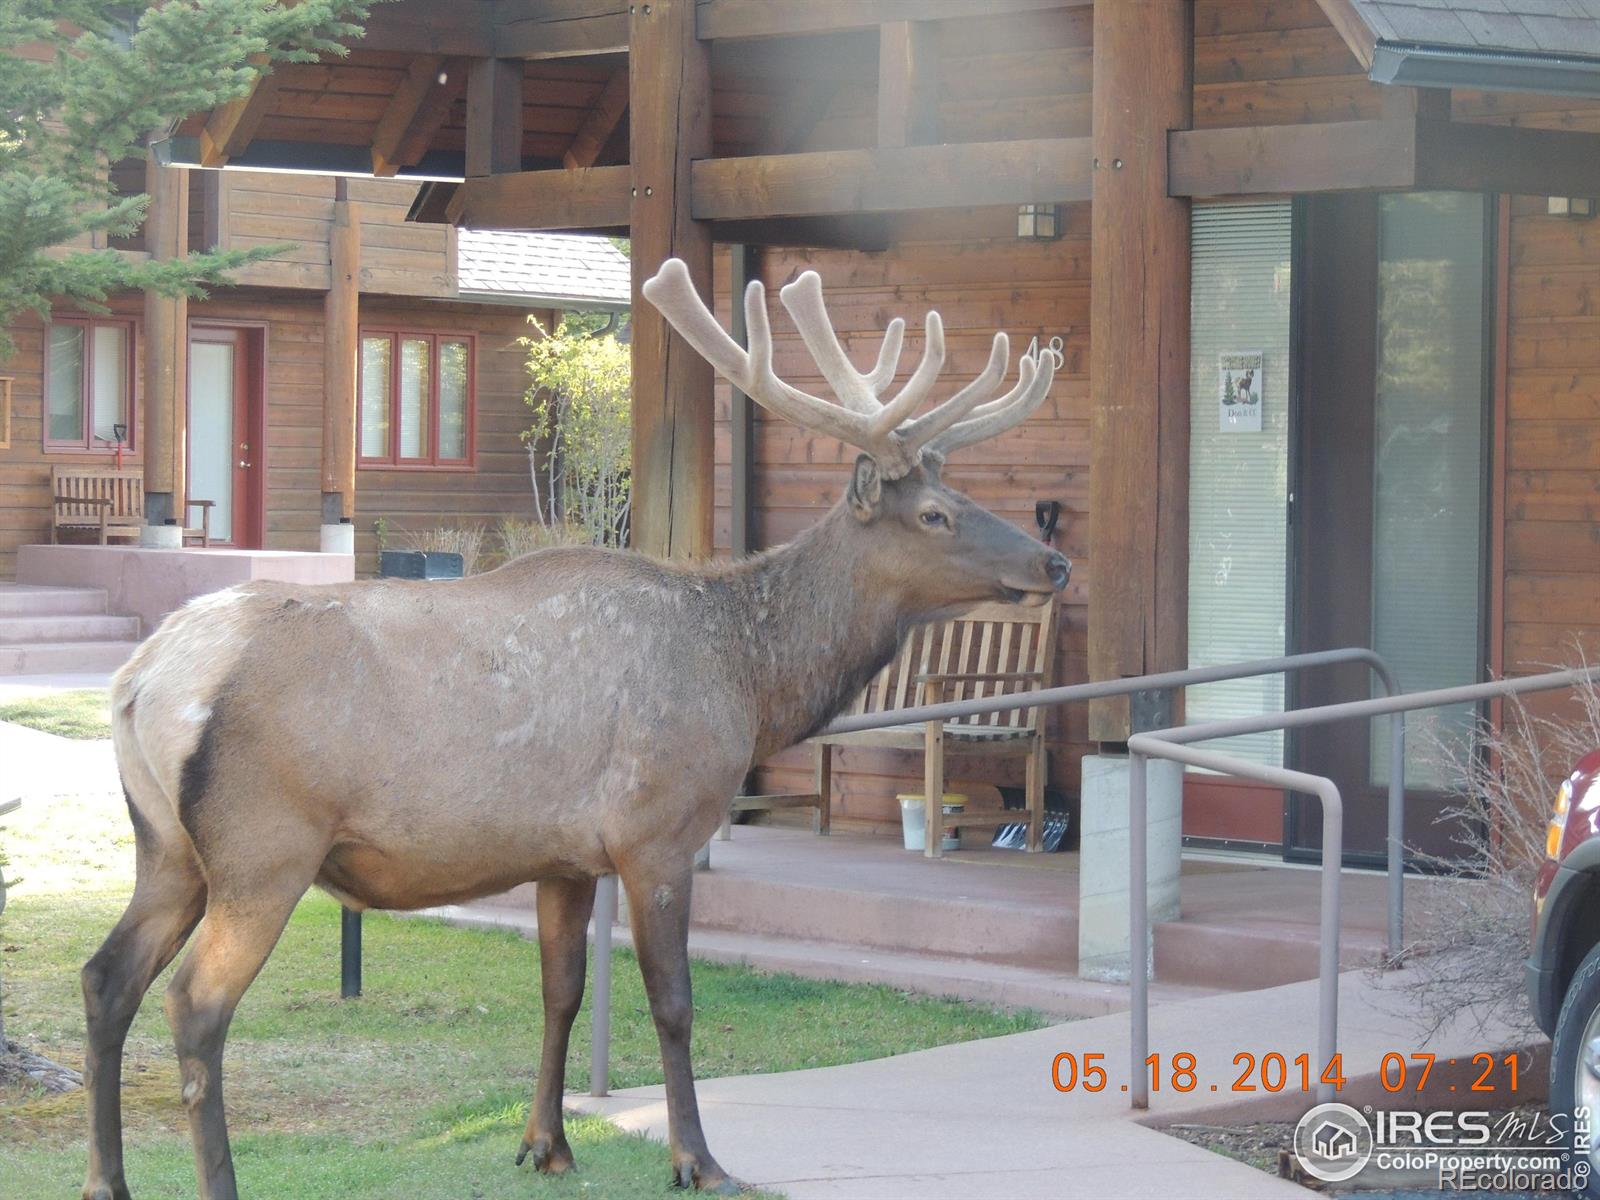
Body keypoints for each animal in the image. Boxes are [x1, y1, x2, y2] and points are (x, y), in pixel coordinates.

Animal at [81, 256, 1068, 1200]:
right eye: (935, 514)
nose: (1052, 560)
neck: (748, 683)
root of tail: (141, 681)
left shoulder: (562, 856)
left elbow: (561, 991)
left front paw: (545, 1145)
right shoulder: (656, 831)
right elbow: (672, 1001)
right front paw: (698, 1160)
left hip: (167, 848)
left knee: (105, 977)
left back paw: (106, 1178)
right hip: (264, 846)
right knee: (194, 1005)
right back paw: (214, 1181)